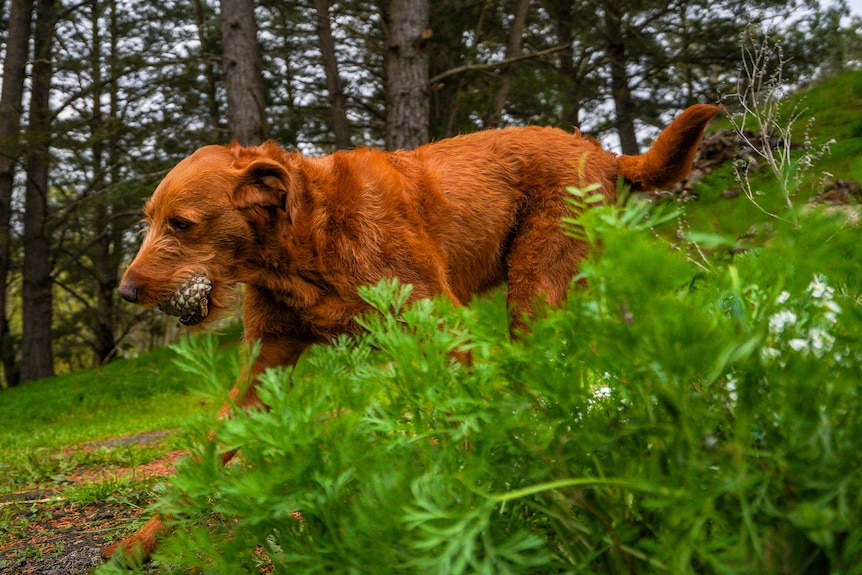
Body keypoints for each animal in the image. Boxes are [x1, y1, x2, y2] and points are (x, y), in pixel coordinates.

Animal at [108, 104, 720, 564]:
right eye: (148, 219)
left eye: (182, 224)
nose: (126, 292)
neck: (300, 240)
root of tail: (605, 152)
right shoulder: (266, 362)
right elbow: (203, 456)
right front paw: (138, 545)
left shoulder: (443, 328)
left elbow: (466, 423)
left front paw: (476, 509)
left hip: (536, 291)